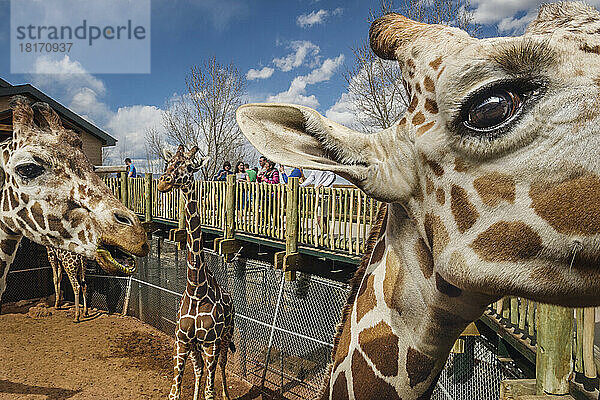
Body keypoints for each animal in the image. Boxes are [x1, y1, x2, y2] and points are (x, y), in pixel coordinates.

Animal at [157, 145, 234, 400]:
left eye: (190, 167)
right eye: (169, 162)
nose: (163, 182)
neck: (196, 289)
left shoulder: (211, 342)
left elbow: (210, 392)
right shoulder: (181, 341)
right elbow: (174, 392)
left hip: (225, 337)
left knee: (221, 366)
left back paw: (226, 394)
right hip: (195, 346)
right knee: (199, 368)